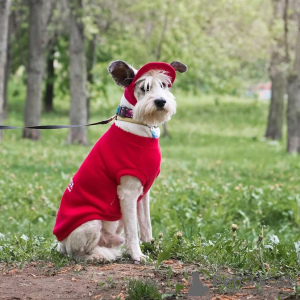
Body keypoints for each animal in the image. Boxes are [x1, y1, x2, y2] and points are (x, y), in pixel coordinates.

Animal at [52, 59, 186, 262]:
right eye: (144, 87)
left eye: (164, 85)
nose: (161, 101)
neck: (139, 123)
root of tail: (60, 243)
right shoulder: (128, 192)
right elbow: (133, 230)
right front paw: (137, 255)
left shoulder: (143, 193)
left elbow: (146, 225)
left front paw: (151, 247)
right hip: (91, 223)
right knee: (76, 253)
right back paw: (99, 255)